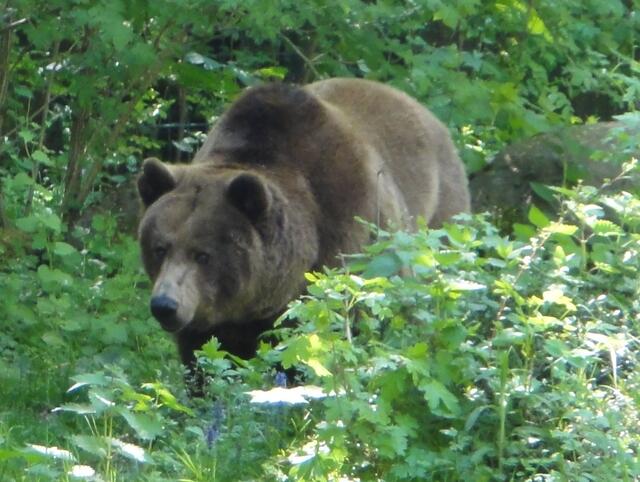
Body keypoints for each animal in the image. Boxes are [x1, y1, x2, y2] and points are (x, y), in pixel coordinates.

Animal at [137, 78, 470, 387]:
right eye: (159, 248)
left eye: (203, 254)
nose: (165, 305)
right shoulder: (210, 317)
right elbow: (203, 361)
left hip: (441, 217)